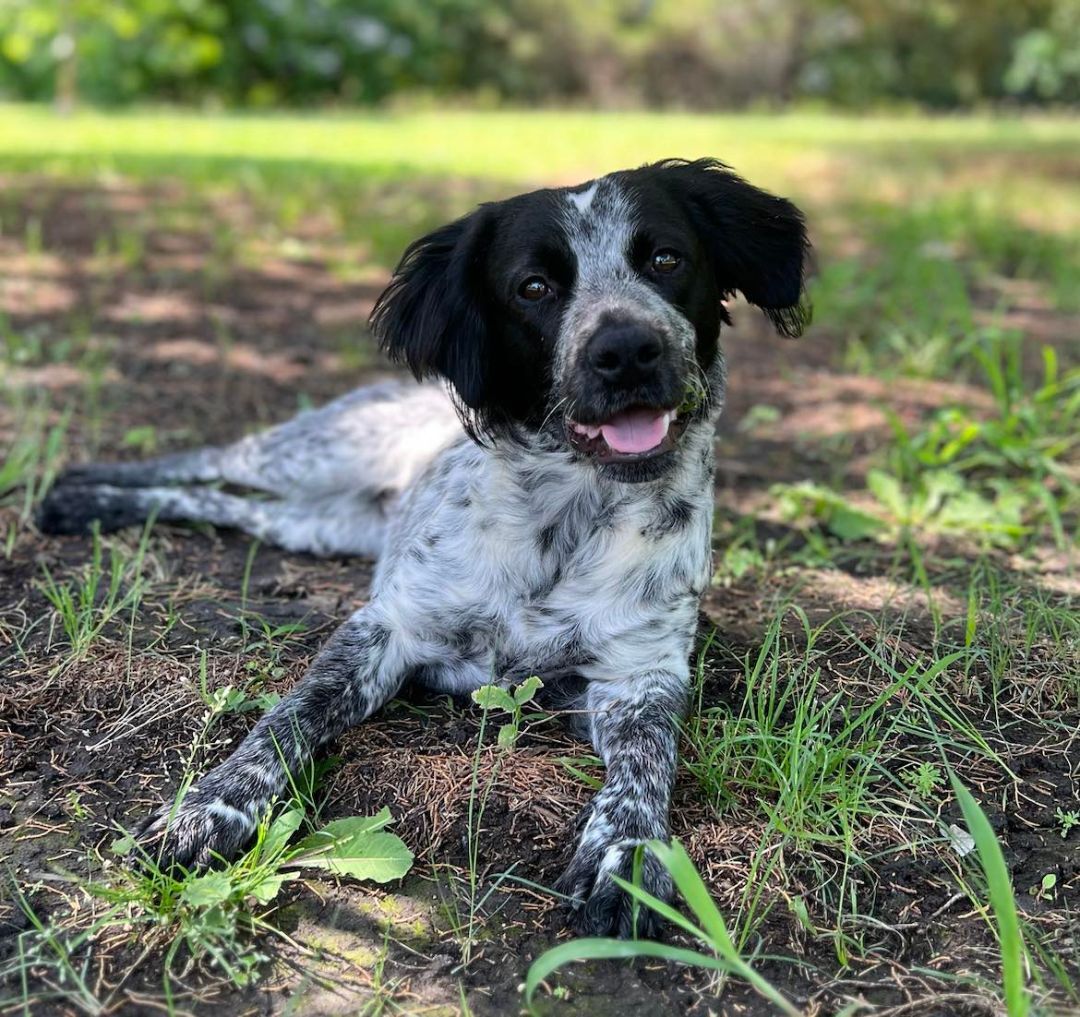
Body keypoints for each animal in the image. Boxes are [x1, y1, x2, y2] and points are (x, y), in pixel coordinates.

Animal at [38, 159, 807, 941]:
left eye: (666, 260)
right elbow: (283, 721)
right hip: (309, 455)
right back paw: (78, 492)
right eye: (533, 287)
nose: (625, 351)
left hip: (317, 523)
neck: (565, 517)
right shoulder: (386, 628)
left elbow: (646, 767)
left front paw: (626, 856)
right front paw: (206, 808)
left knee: (231, 504)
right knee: (209, 462)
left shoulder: (639, 673)